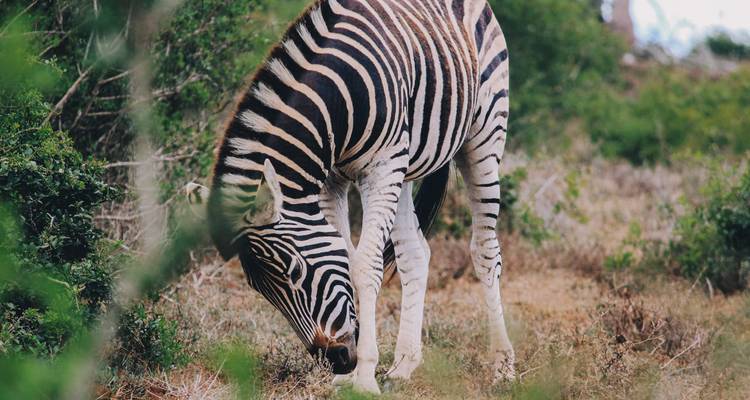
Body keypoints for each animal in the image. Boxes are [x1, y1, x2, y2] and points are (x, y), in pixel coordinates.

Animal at [187, 0, 513, 393]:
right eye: (258, 289)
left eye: (295, 271)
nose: (337, 359)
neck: (333, 99)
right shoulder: (334, 178)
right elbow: (346, 252)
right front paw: (351, 375)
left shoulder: (381, 166)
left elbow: (363, 264)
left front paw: (365, 376)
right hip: (405, 165)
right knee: (415, 253)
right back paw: (403, 364)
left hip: (483, 135)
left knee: (485, 251)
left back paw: (503, 367)